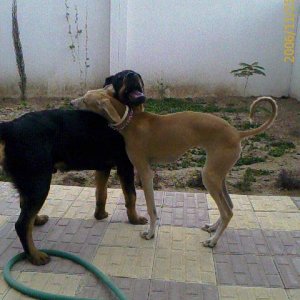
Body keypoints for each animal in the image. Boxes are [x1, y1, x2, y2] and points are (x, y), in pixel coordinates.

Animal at [0, 82, 146, 264]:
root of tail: (10, 126)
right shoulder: (124, 165)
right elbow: (131, 195)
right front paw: (135, 220)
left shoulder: (103, 167)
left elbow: (101, 193)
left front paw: (100, 215)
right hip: (39, 182)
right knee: (21, 224)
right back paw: (35, 255)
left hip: (29, 182)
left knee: (25, 210)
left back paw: (37, 221)